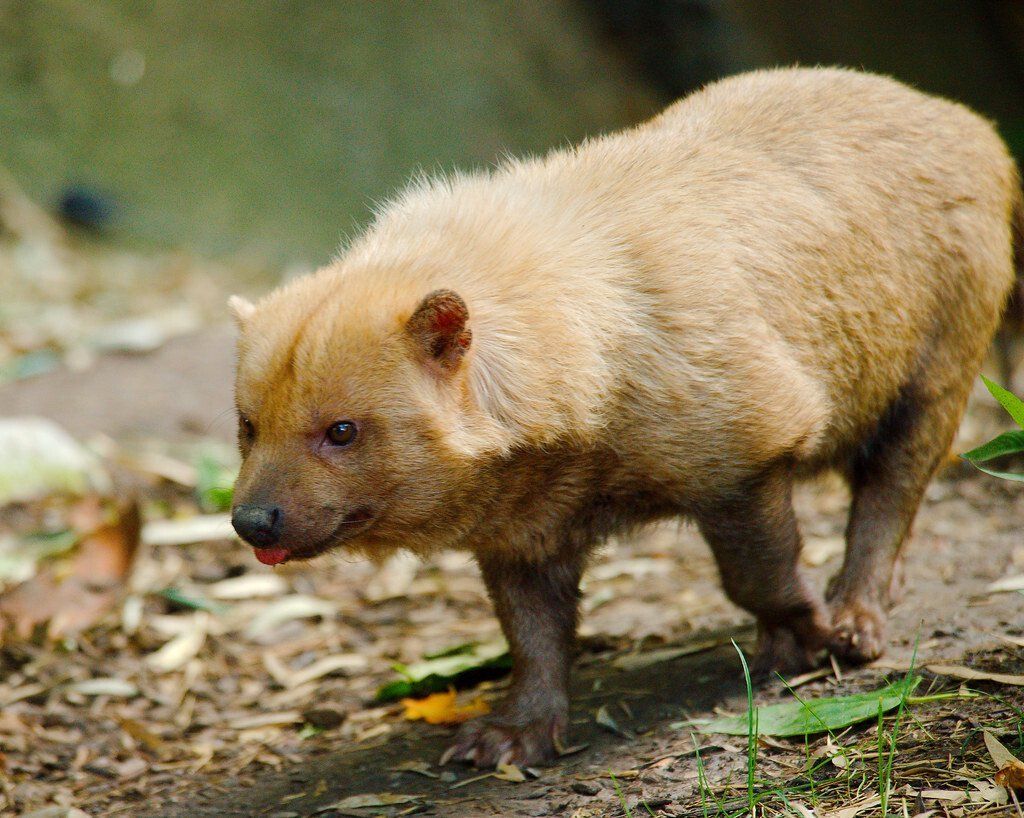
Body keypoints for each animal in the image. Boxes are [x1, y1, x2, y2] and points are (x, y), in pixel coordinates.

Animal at [232, 67, 1024, 765]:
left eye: (341, 429)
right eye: (247, 424)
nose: (252, 521)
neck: (600, 338)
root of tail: (977, 129)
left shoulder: (746, 436)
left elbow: (758, 570)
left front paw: (808, 635)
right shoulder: (521, 518)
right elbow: (530, 628)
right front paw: (509, 736)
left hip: (942, 351)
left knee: (895, 480)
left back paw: (861, 611)